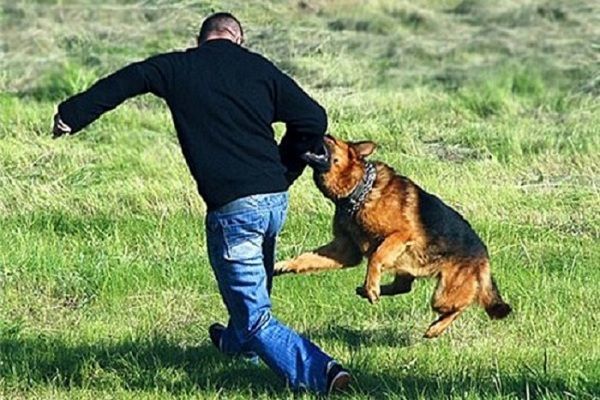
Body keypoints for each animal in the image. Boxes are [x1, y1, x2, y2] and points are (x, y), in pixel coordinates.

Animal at [276, 135, 510, 338]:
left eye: (330, 138)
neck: (360, 191)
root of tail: (483, 255)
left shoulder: (399, 235)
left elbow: (375, 257)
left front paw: (371, 284)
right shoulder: (345, 250)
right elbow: (307, 258)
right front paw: (284, 265)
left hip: (442, 295)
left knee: (460, 306)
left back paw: (435, 328)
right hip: (410, 267)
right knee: (404, 288)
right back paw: (373, 291)